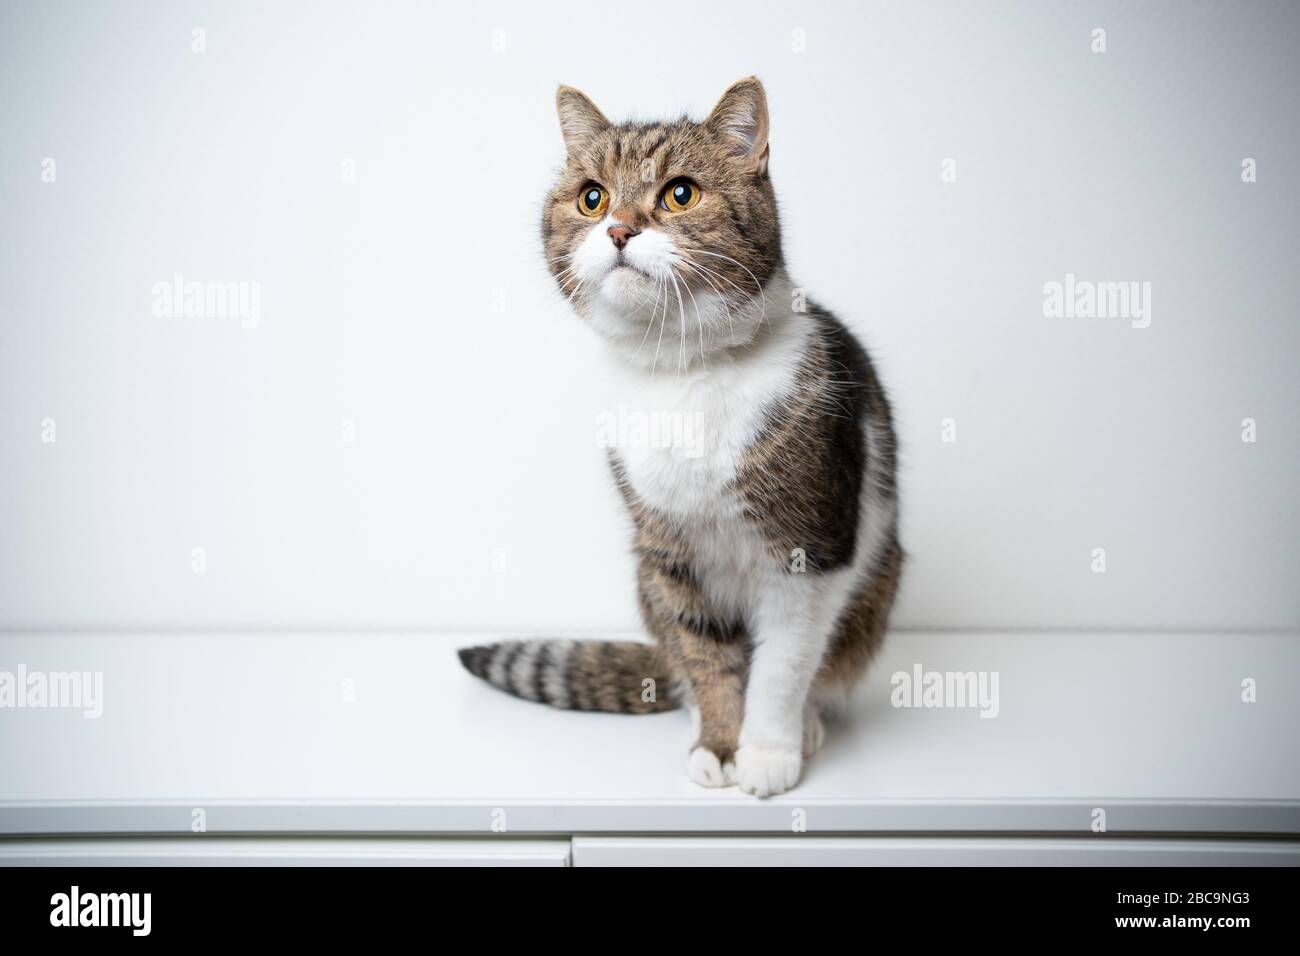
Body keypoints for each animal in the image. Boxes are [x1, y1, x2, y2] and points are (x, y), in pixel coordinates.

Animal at [460, 76, 904, 801]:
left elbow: (781, 667)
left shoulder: (807, 551)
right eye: (592, 197)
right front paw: (720, 743)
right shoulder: (670, 556)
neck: (682, 370)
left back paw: (807, 725)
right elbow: (706, 655)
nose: (618, 228)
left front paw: (766, 753)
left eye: (680, 193)